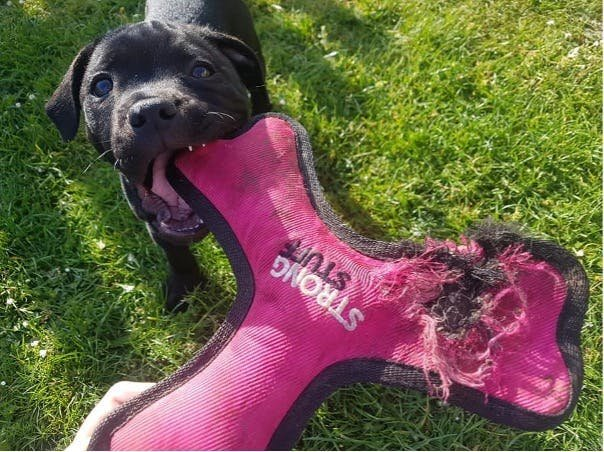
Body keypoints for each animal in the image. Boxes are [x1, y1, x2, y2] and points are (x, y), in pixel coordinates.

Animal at [47, 0, 272, 310]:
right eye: (101, 86)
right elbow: (176, 255)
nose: (151, 109)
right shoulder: (153, 222)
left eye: (201, 71)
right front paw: (185, 289)